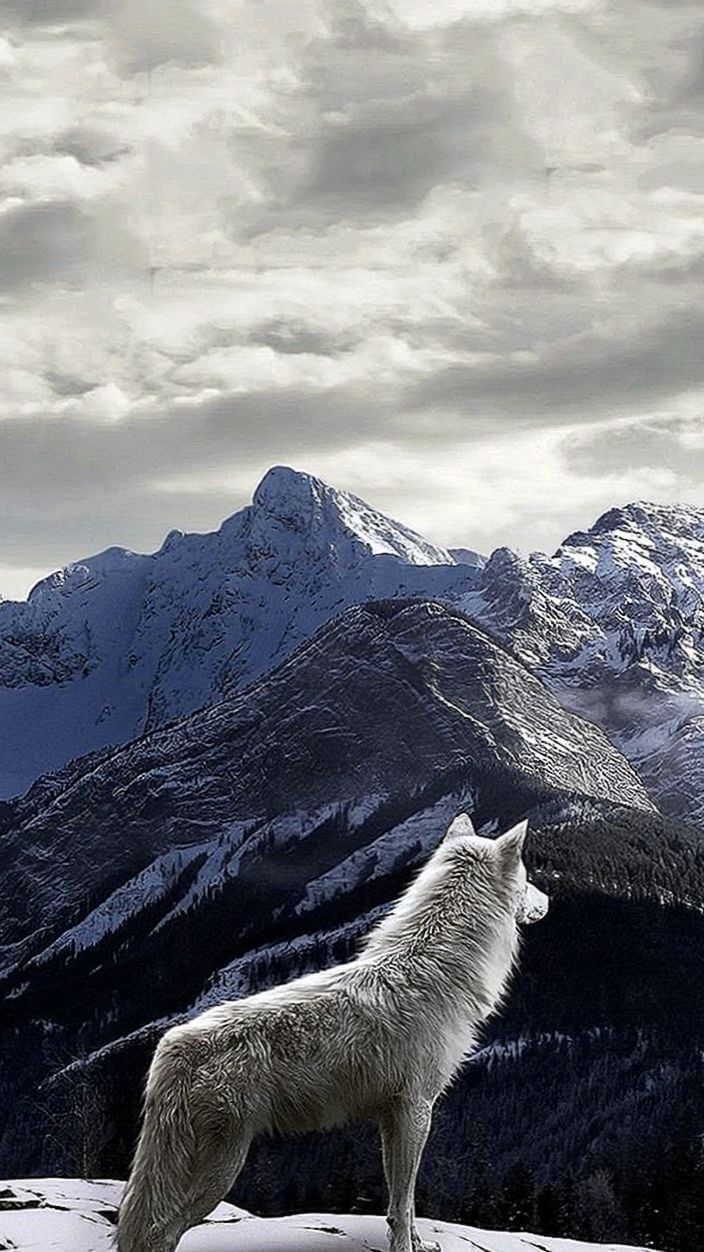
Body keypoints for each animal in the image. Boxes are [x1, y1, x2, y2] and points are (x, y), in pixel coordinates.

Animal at [117, 814, 548, 1252]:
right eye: (528, 878)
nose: (547, 900)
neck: (436, 968)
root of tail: (172, 1046)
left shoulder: (393, 1116)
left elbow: (402, 1203)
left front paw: (418, 1243)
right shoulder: (416, 1109)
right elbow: (404, 1200)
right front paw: (406, 1248)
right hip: (220, 1172)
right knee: (158, 1233)